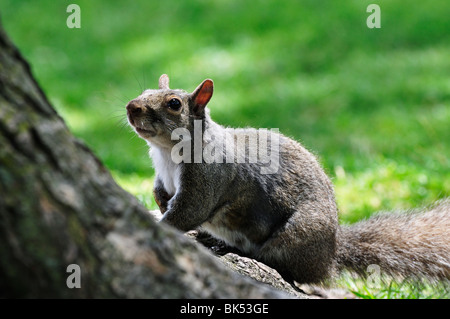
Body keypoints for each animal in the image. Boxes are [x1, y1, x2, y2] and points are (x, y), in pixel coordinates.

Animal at [126, 75, 450, 284]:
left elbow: (189, 211)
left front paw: (159, 226)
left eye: (174, 104)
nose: (131, 107)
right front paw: (159, 205)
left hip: (296, 236)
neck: (167, 154)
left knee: (283, 267)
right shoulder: (162, 177)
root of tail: (331, 253)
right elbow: (162, 195)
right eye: (144, 91)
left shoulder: (208, 177)